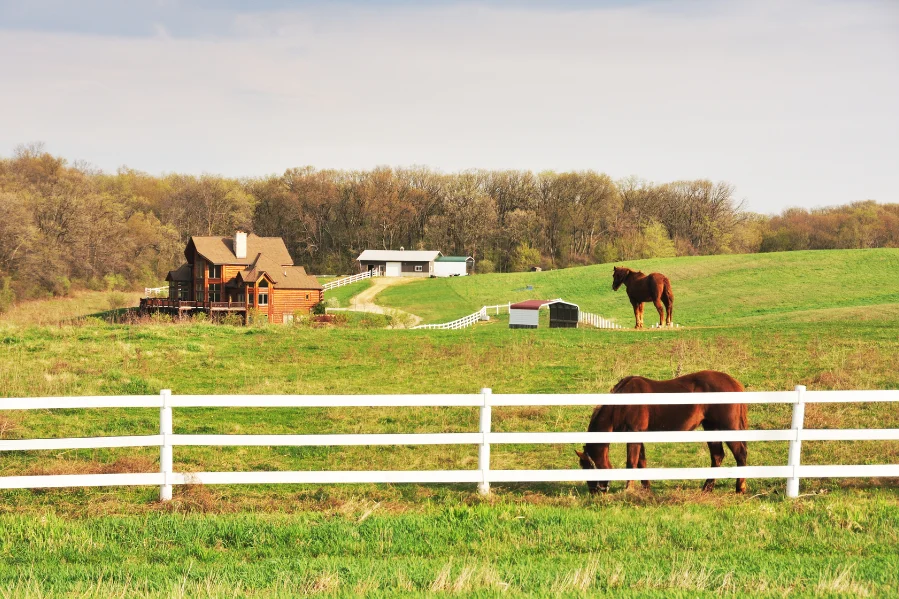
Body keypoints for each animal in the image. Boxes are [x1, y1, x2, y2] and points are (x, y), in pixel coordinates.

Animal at [575, 370, 748, 494]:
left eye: (588, 468)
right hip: (711, 427)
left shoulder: (634, 434)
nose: (594, 492)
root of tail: (734, 383)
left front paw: (628, 489)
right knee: (717, 456)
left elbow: (631, 462)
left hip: (727, 428)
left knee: (740, 454)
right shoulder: (639, 436)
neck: (621, 405)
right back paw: (707, 488)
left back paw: (740, 488)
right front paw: (646, 489)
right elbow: (641, 462)